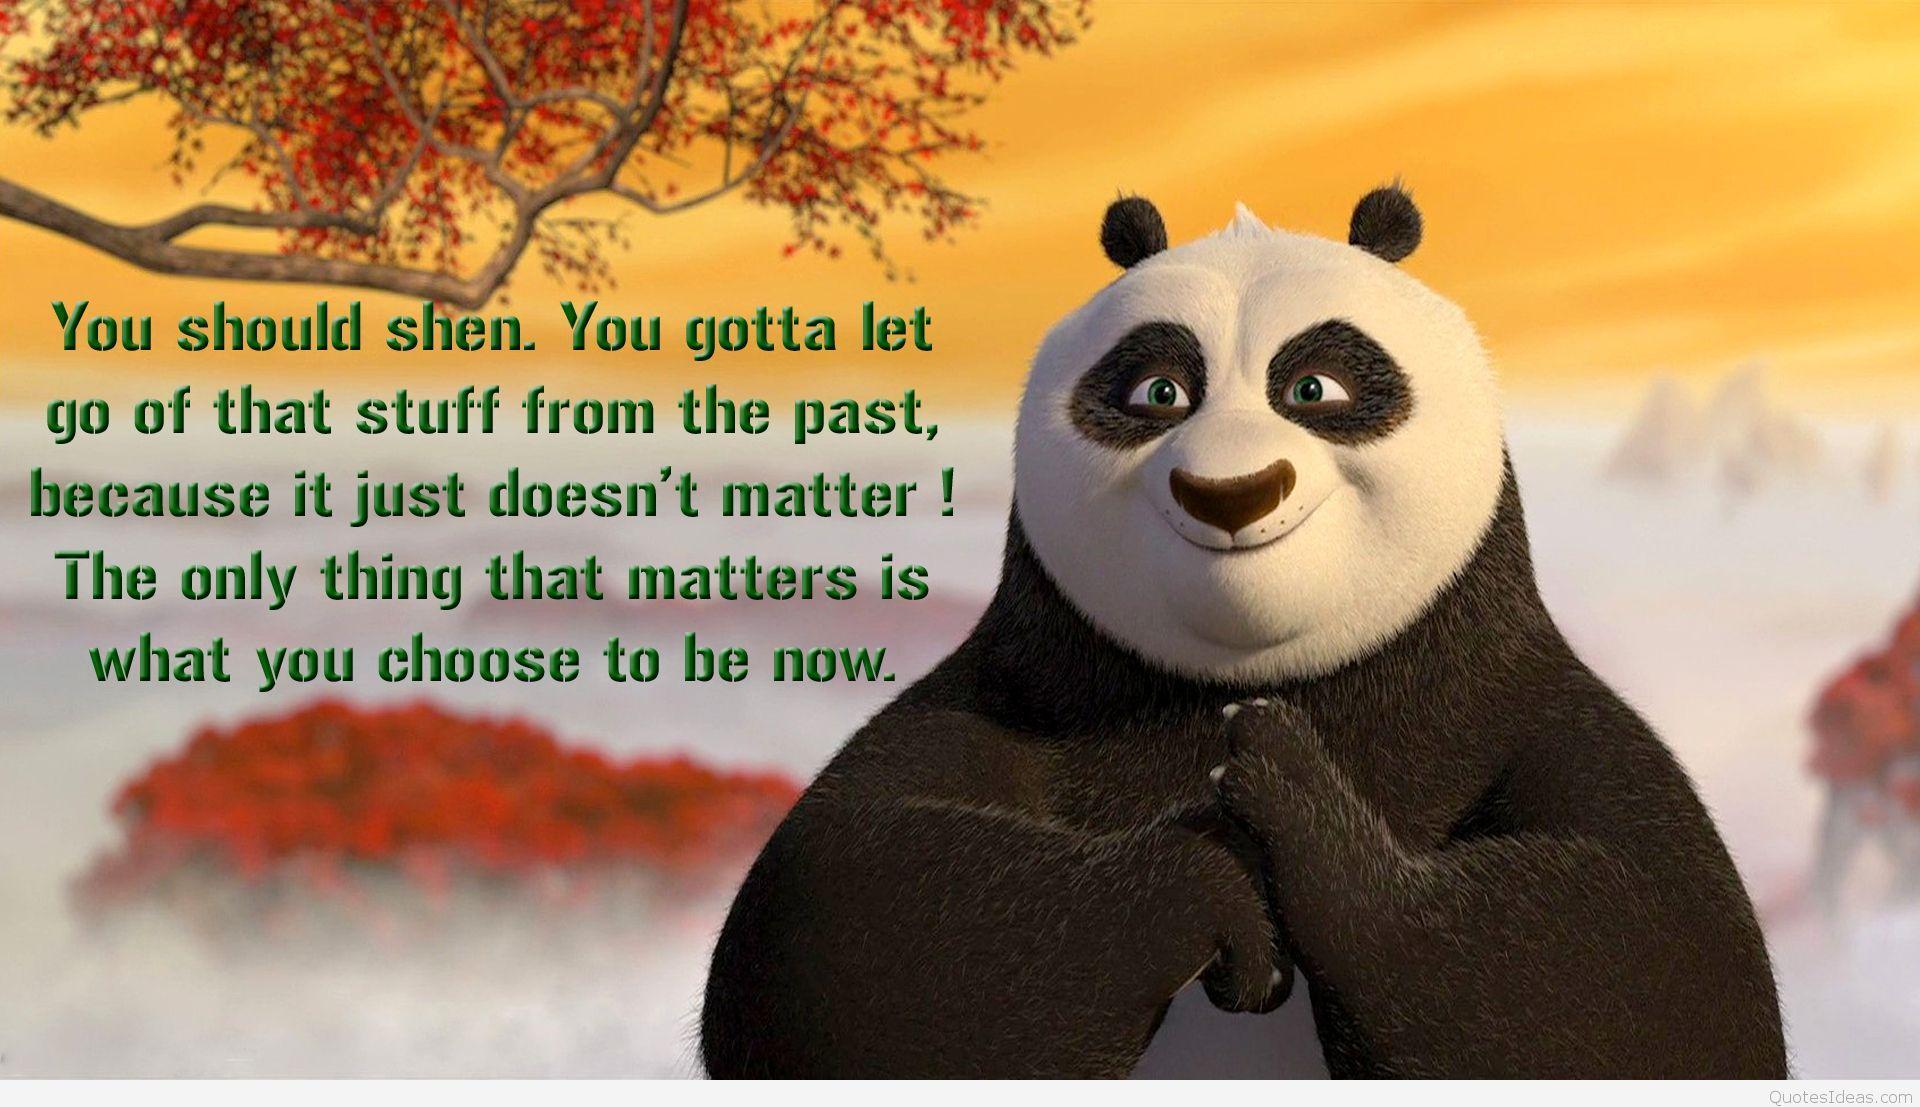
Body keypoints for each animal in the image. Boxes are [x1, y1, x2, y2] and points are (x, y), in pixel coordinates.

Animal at [700, 187, 1788, 1078]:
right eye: (1157, 393)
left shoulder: (1509, 699)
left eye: (1316, 389)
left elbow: (1646, 963)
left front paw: (1287, 794)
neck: (1256, 667)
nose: (1232, 492)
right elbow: (846, 917)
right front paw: (1216, 879)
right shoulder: (1025, 688)